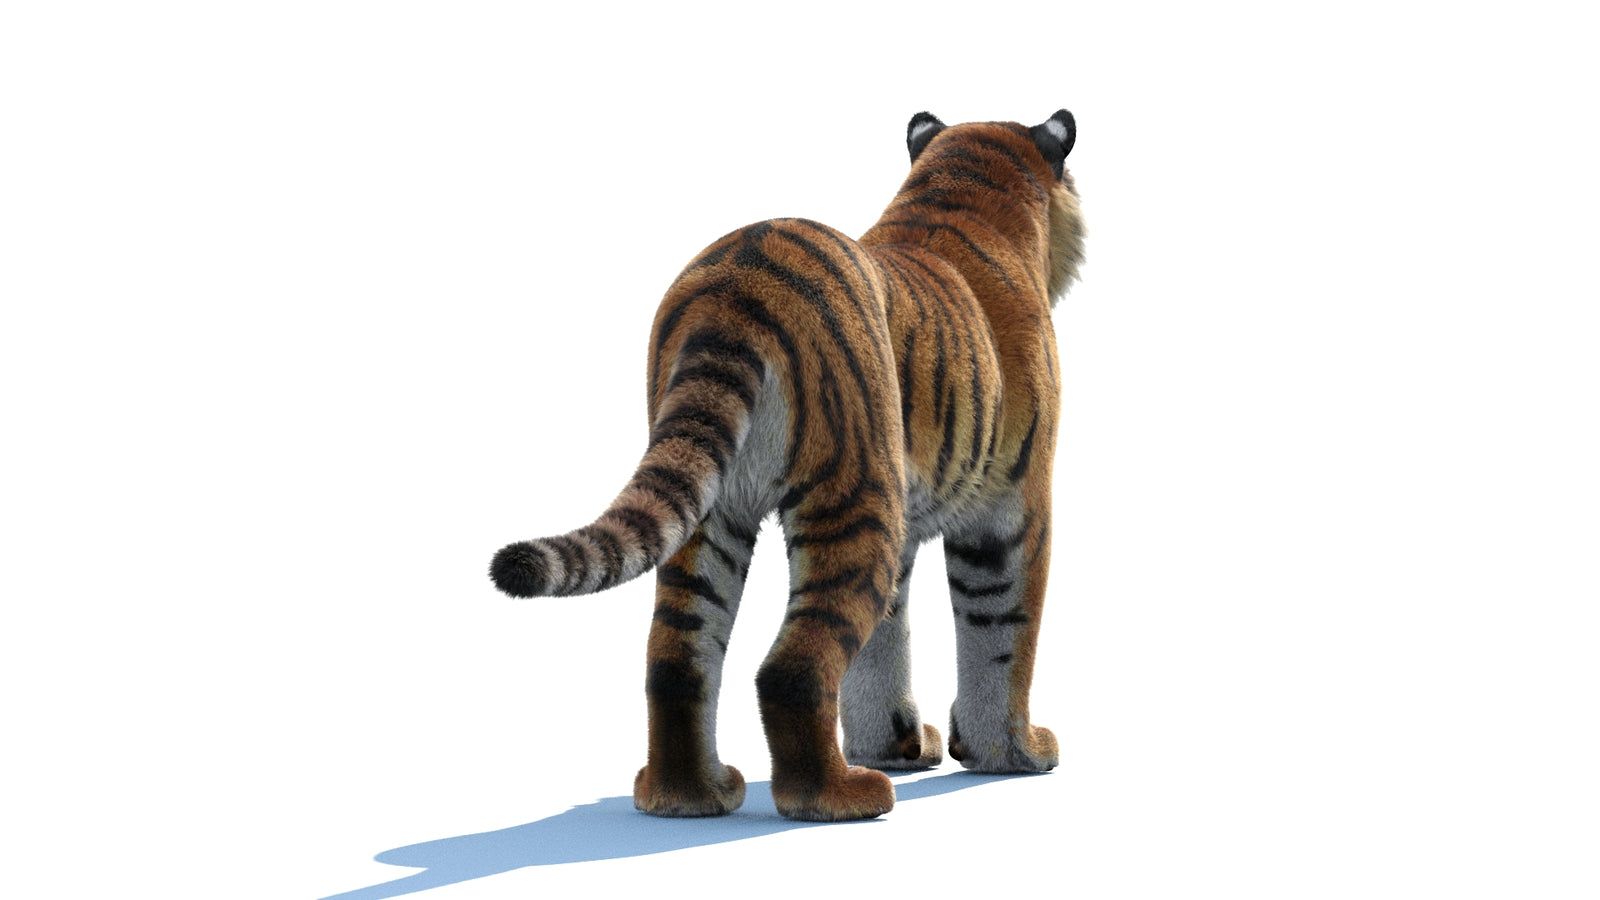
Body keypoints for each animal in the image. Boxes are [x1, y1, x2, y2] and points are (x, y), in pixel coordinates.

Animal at [489, 109, 1086, 822]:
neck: (965, 192)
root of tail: (737, 283)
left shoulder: (908, 522)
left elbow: (884, 646)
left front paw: (896, 746)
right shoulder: (1010, 510)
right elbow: (1001, 634)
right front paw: (1014, 754)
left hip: (707, 510)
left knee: (676, 657)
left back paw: (688, 796)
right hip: (851, 496)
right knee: (792, 667)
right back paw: (838, 797)